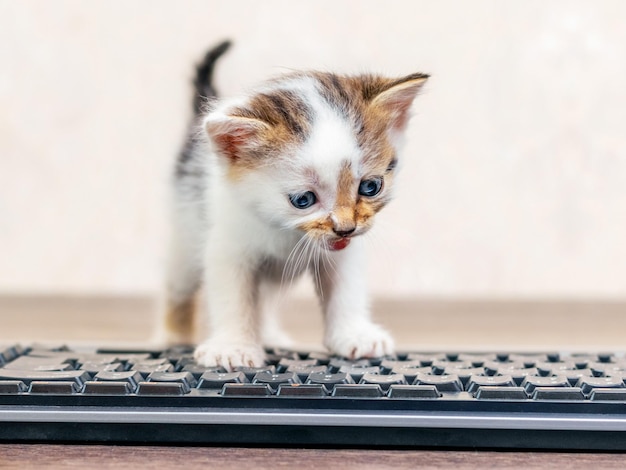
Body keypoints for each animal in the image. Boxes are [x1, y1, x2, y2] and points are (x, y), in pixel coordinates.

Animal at [161, 41, 426, 370]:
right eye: (303, 200)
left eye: (370, 187)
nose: (345, 228)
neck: (285, 232)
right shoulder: (228, 244)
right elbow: (232, 294)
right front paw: (232, 347)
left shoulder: (341, 253)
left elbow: (345, 285)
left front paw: (355, 335)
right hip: (184, 230)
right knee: (179, 286)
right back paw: (171, 338)